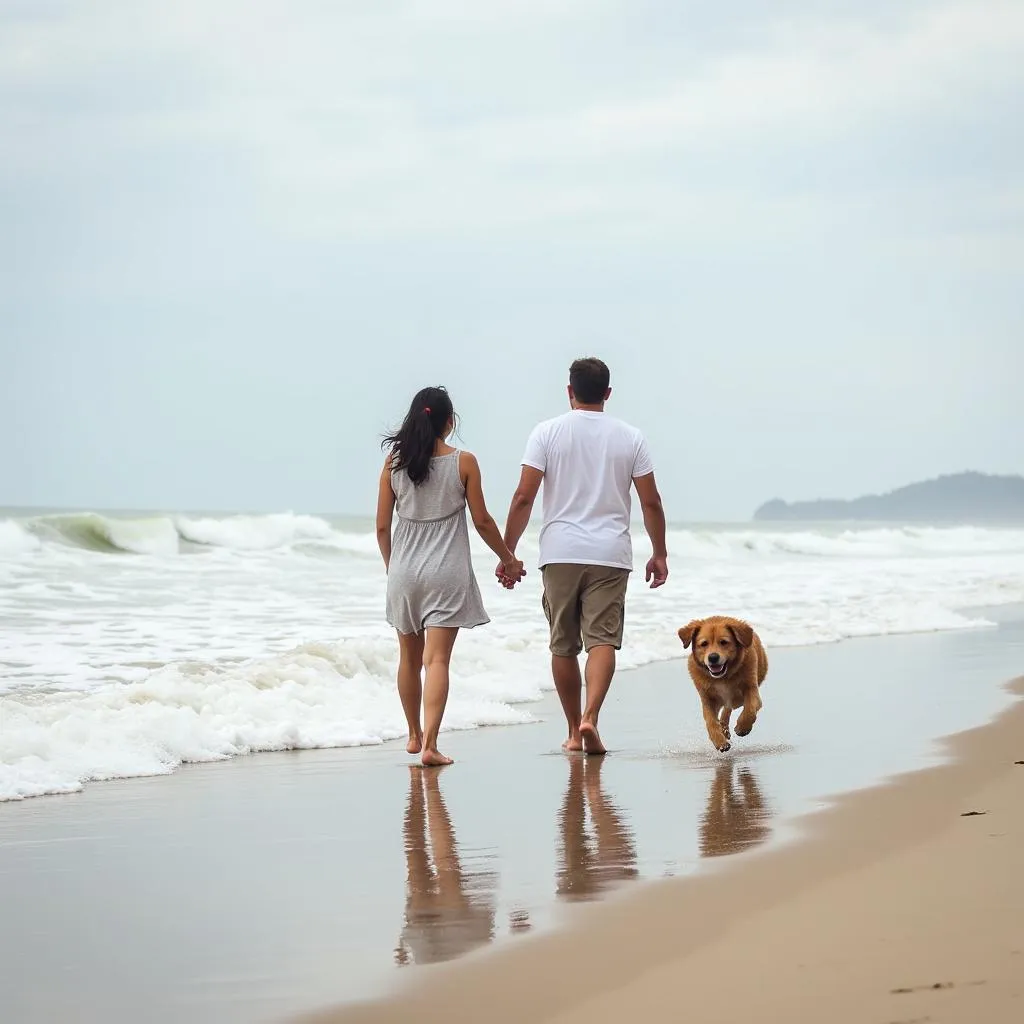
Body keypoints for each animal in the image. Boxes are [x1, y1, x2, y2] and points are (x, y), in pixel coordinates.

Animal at [675, 614, 765, 753]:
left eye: (724, 642)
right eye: (704, 644)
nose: (713, 657)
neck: (722, 678)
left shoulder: (751, 688)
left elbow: (750, 709)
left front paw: (742, 727)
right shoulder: (707, 699)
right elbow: (711, 721)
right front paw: (719, 741)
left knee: (730, 707)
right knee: (726, 708)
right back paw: (724, 729)